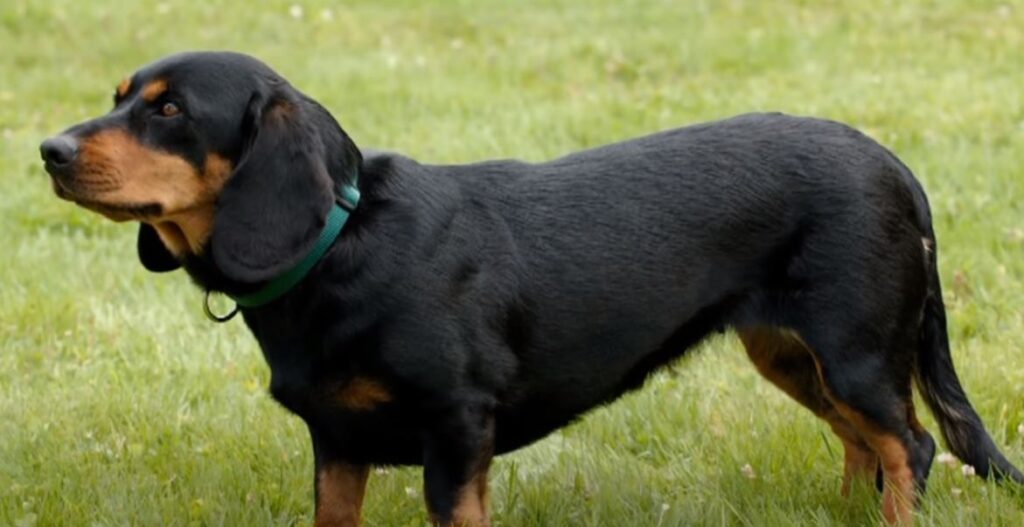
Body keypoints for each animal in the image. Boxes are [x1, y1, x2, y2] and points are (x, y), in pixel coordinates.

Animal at [37, 51, 1015, 523]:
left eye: (170, 110)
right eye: (121, 95)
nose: (47, 149)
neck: (346, 243)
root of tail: (893, 165)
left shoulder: (457, 429)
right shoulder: (338, 443)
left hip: (855, 349)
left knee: (909, 447)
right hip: (790, 352)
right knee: (865, 445)